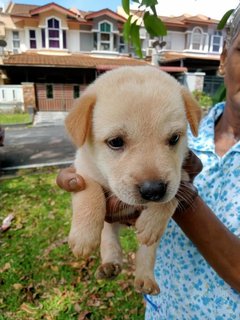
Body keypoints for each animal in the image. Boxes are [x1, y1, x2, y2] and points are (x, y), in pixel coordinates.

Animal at [64, 65, 202, 296]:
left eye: (174, 138)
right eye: (115, 142)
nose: (153, 191)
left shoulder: (181, 175)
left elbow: (172, 196)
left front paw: (154, 219)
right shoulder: (81, 171)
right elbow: (91, 193)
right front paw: (84, 237)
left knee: (147, 251)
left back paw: (145, 278)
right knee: (109, 237)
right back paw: (110, 265)